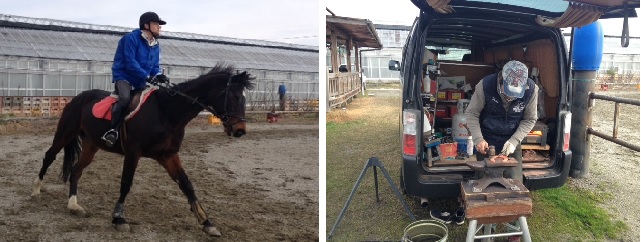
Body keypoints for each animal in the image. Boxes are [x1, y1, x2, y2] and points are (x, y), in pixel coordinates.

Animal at [30, 63, 255, 236]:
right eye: (233, 96)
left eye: (244, 97)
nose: (240, 130)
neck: (167, 112)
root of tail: (79, 97)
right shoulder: (133, 153)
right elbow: (126, 184)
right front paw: (118, 218)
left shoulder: (168, 156)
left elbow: (186, 185)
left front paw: (207, 222)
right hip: (65, 134)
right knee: (49, 156)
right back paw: (35, 190)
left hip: (91, 145)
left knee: (76, 170)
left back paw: (74, 205)